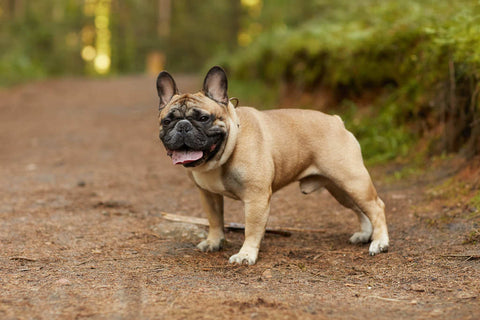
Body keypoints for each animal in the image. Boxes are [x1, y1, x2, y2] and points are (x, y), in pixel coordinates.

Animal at [156, 65, 388, 264]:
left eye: (204, 118)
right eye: (166, 121)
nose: (182, 126)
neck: (224, 152)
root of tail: (336, 120)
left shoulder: (256, 198)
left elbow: (251, 229)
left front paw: (246, 254)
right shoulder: (208, 194)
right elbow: (214, 220)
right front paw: (214, 242)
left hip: (352, 180)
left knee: (376, 206)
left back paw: (379, 242)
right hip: (339, 188)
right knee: (360, 209)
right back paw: (365, 234)